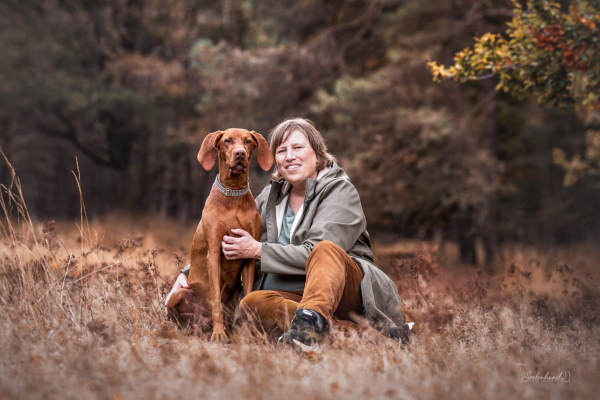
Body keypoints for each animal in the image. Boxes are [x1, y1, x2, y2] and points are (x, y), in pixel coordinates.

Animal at [166, 128, 274, 340]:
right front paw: (219, 334)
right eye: (227, 141)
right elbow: (215, 297)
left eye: (248, 141)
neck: (233, 195)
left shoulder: (248, 256)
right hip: (177, 296)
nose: (240, 153)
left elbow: (247, 295)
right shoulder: (214, 252)